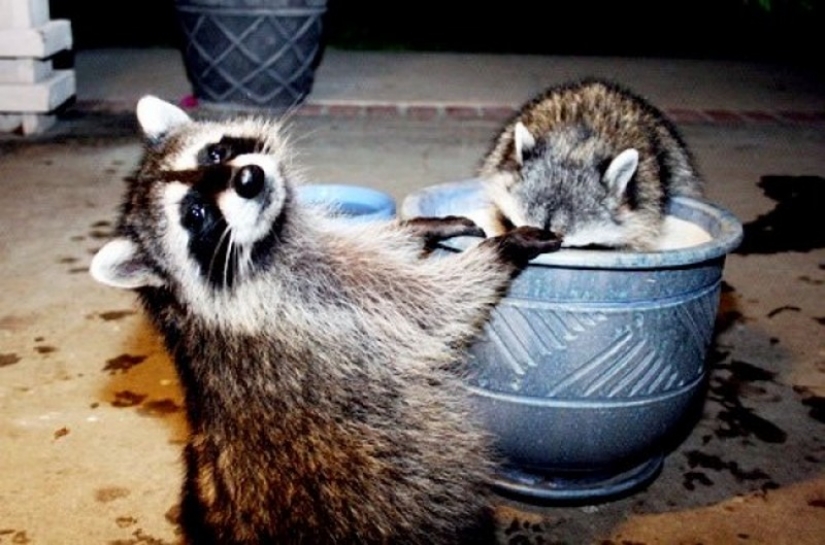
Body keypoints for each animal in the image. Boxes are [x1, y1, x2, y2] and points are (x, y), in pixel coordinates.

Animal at [90, 96, 561, 545]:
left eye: (216, 152)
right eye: (196, 215)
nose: (249, 178)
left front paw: (421, 227)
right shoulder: (321, 305)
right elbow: (434, 307)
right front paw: (503, 247)